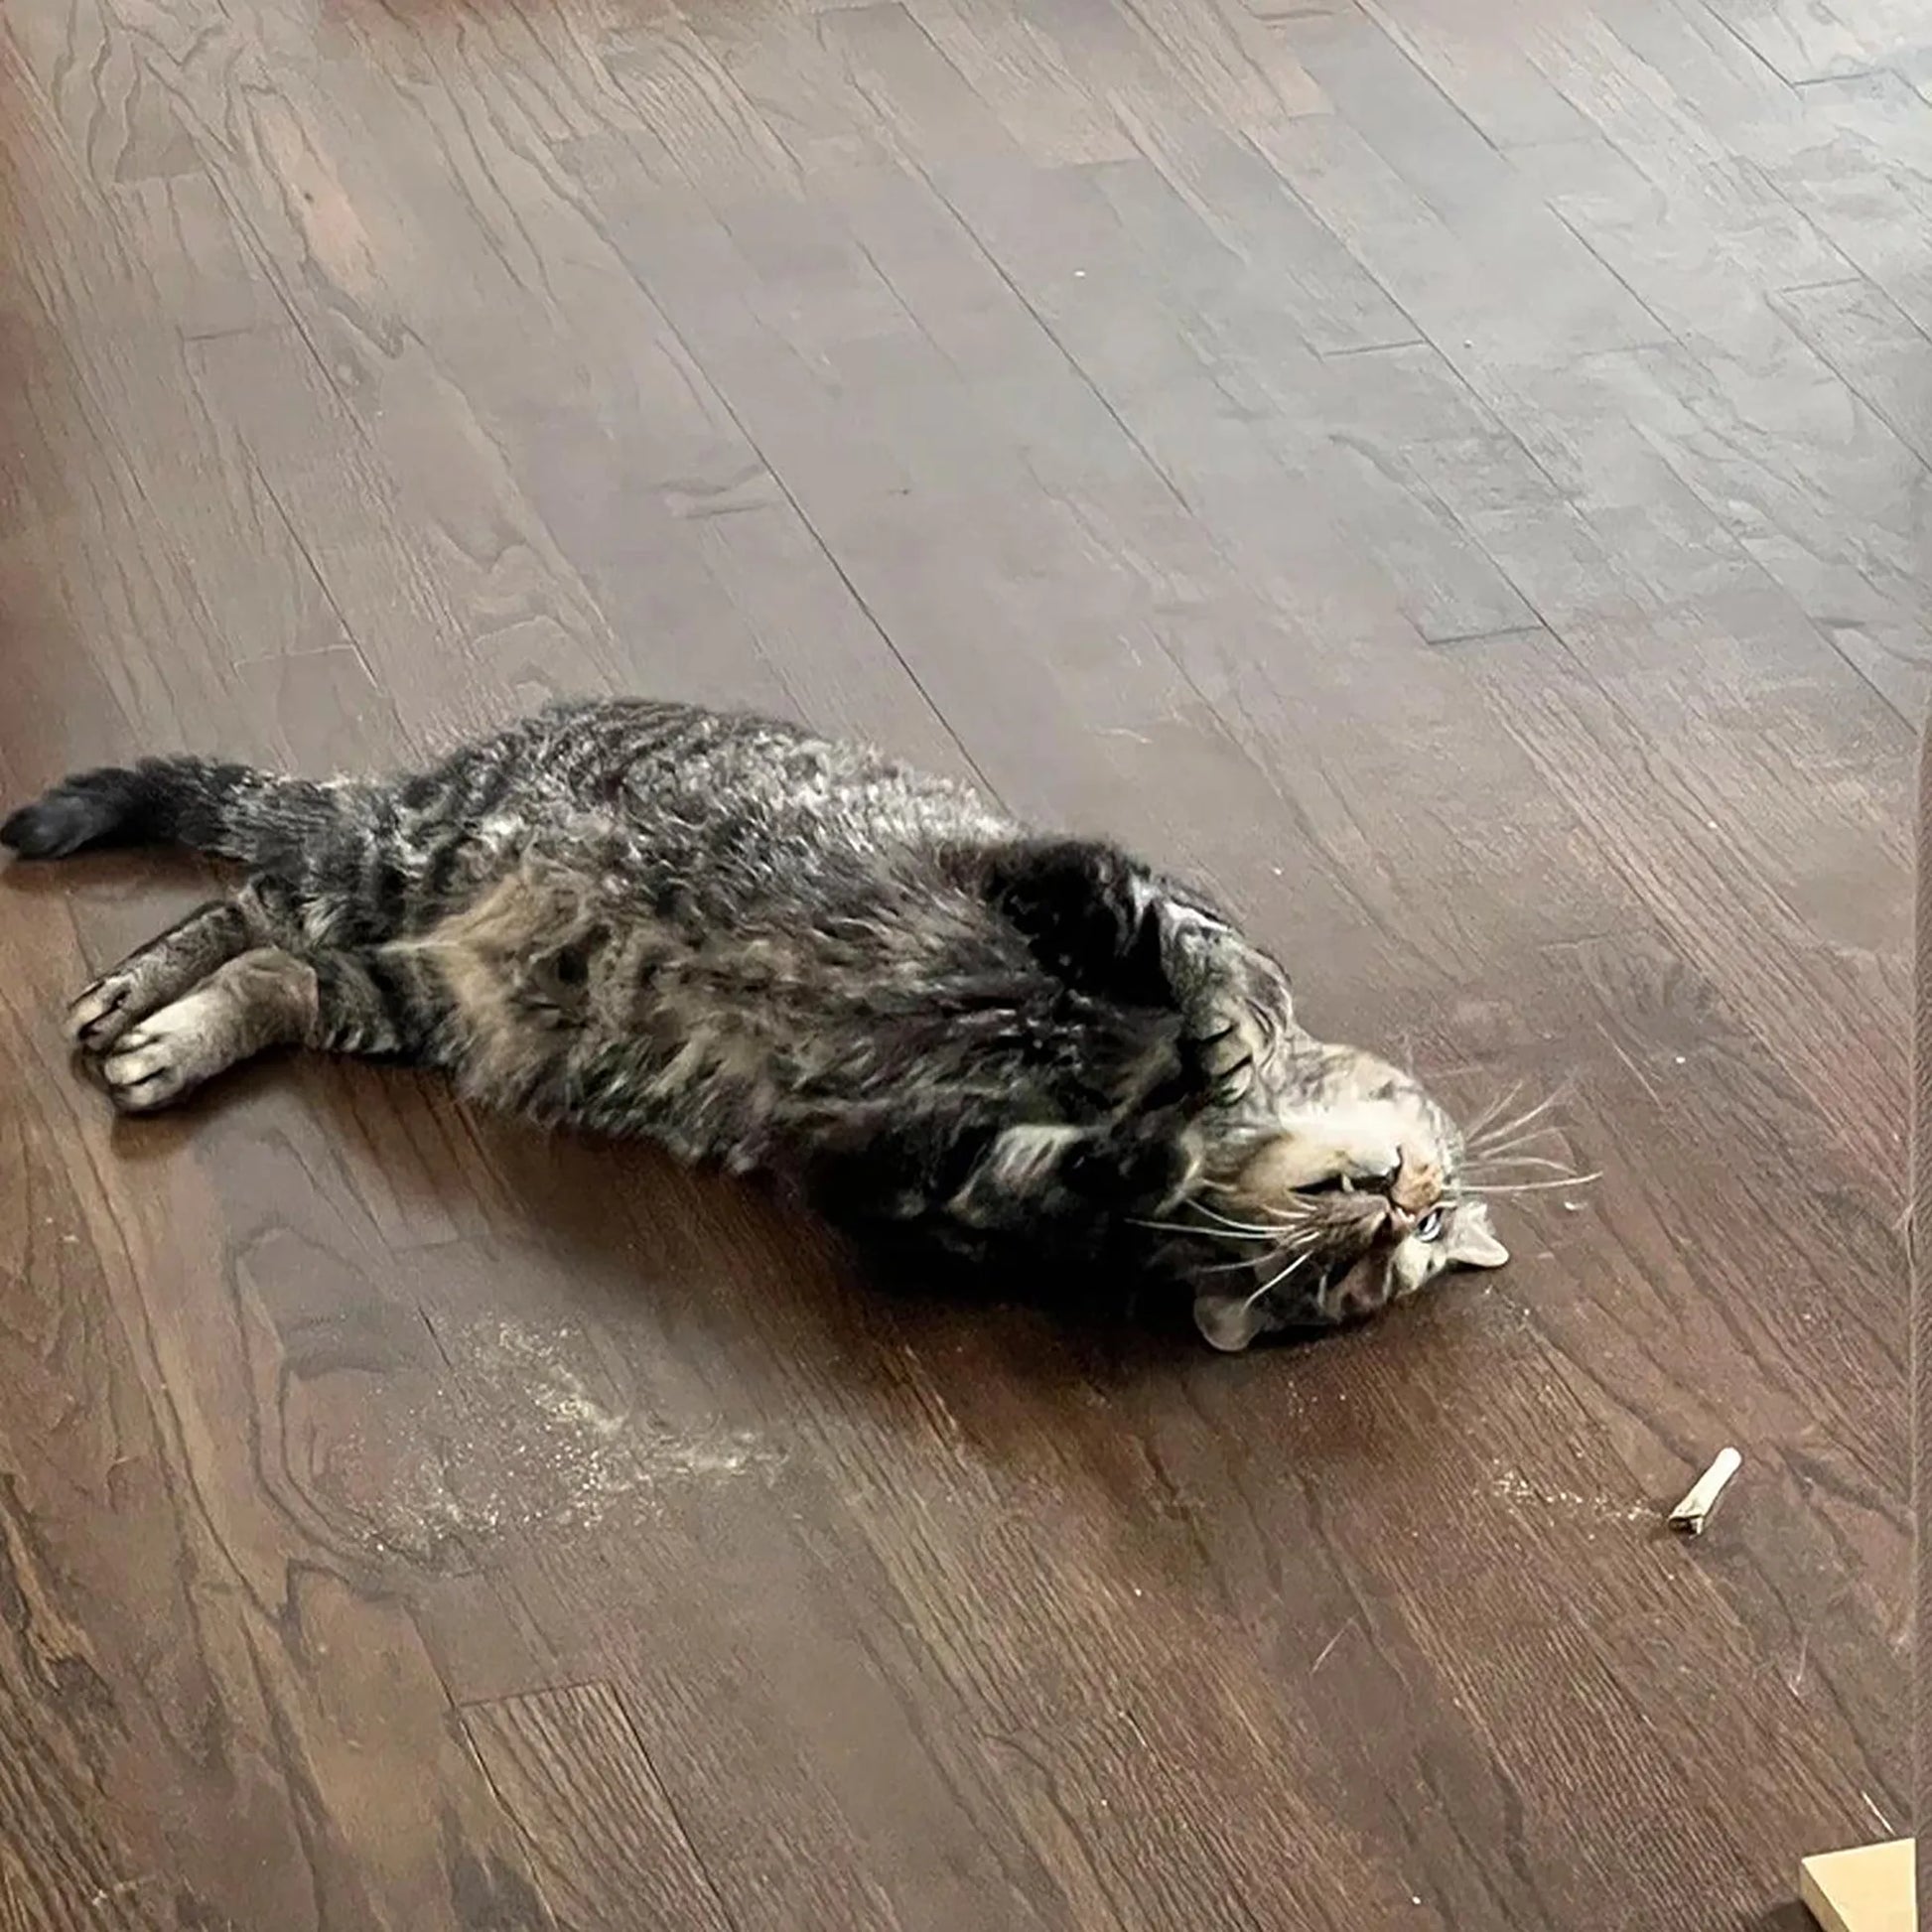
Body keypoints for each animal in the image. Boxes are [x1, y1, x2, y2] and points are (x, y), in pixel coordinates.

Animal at [0, 703, 1506, 1352]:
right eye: (1411, 1231)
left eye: (1374, 1273)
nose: (1401, 1203)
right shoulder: (1051, 876)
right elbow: (1180, 933)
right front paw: (1225, 1029)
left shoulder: (906, 1170)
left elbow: (1037, 1175)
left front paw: (1143, 1159)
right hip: (404, 853)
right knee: (251, 888)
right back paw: (133, 993)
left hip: (412, 995)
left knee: (284, 962)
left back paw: (168, 1035)